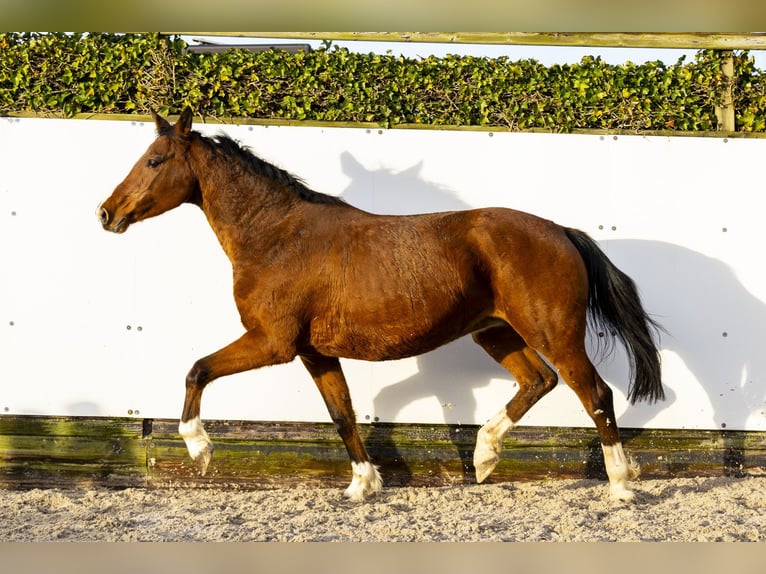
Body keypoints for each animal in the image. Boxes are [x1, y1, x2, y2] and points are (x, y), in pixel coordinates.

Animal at [97, 109, 664, 504]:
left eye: (154, 161)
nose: (106, 213)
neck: (276, 236)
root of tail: (561, 232)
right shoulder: (315, 353)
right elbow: (342, 414)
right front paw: (361, 486)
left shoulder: (273, 343)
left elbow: (197, 369)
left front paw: (199, 449)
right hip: (494, 331)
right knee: (538, 382)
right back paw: (483, 457)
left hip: (553, 332)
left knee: (594, 393)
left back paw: (621, 486)